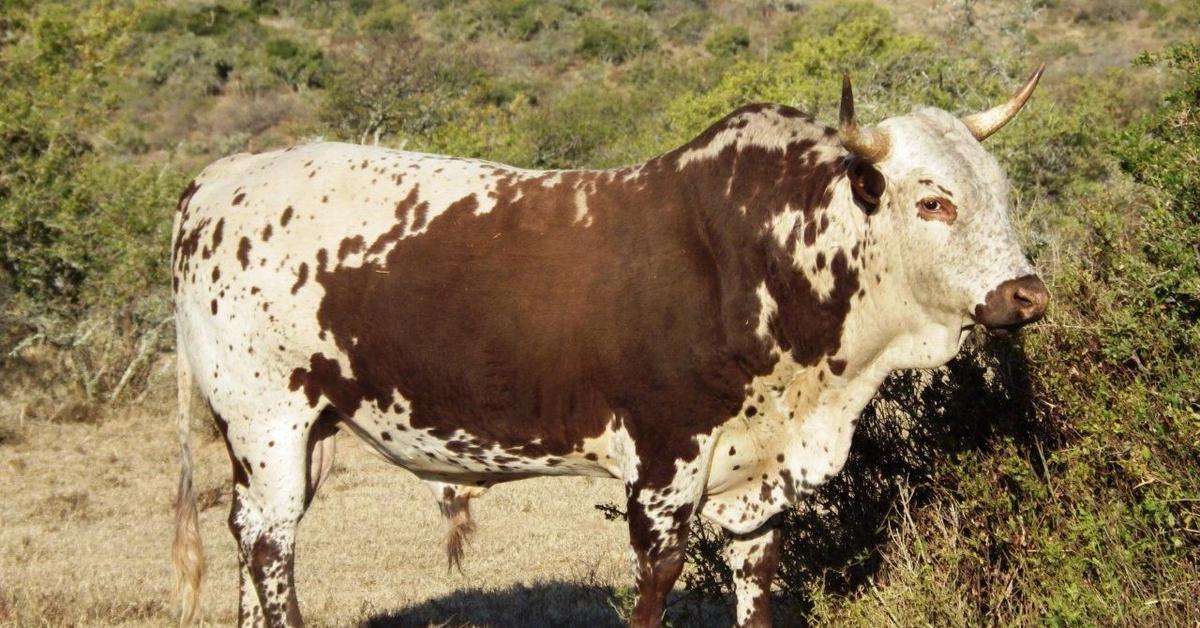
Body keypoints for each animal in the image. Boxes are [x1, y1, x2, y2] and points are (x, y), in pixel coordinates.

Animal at [169, 66, 1051, 624]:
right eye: (933, 202)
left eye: (1001, 193)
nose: (1027, 294)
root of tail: (221, 179)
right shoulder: (662, 473)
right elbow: (654, 588)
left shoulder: (757, 487)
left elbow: (756, 589)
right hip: (267, 423)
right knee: (270, 549)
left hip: (296, 437)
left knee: (251, 545)